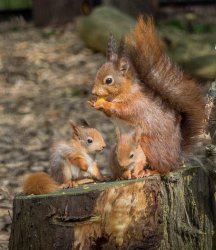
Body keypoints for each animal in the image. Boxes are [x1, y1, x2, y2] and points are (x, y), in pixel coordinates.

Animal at [88, 16, 206, 174]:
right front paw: (94, 103)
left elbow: (123, 110)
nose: (94, 92)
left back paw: (152, 170)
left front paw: (105, 104)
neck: (125, 91)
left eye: (109, 80)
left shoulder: (136, 103)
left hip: (149, 145)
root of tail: (176, 158)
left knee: (164, 167)